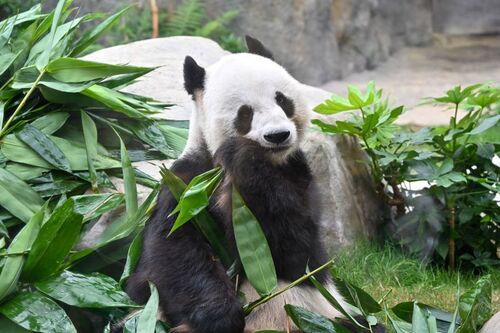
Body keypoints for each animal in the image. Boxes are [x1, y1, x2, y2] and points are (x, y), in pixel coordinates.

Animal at [126, 36, 382, 332]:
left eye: (282, 100)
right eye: (245, 113)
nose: (277, 135)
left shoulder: (298, 174)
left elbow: (297, 250)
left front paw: (245, 157)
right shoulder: (186, 184)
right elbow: (172, 249)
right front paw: (220, 315)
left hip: (328, 316)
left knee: (364, 325)